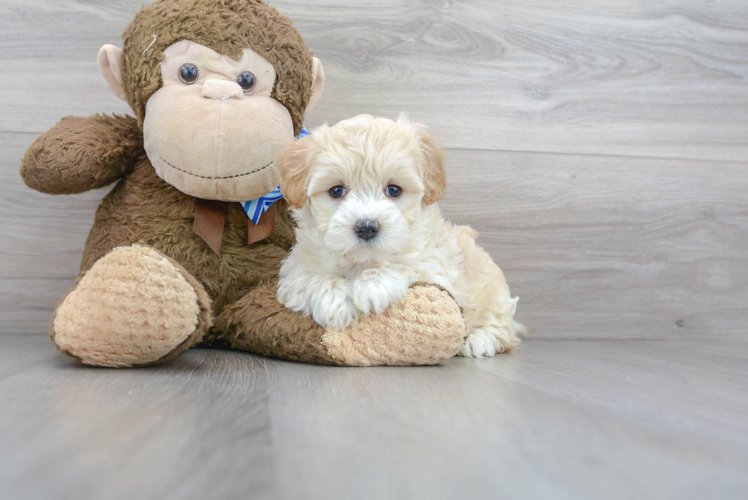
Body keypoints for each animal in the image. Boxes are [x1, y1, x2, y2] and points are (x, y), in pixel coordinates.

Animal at [278, 114, 524, 356]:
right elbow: (313, 278)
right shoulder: (294, 273)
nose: (367, 227)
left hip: (494, 293)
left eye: (394, 190)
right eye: (336, 191)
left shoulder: (436, 267)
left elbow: (406, 265)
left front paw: (373, 285)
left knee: (504, 329)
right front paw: (335, 302)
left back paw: (480, 339)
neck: (362, 261)